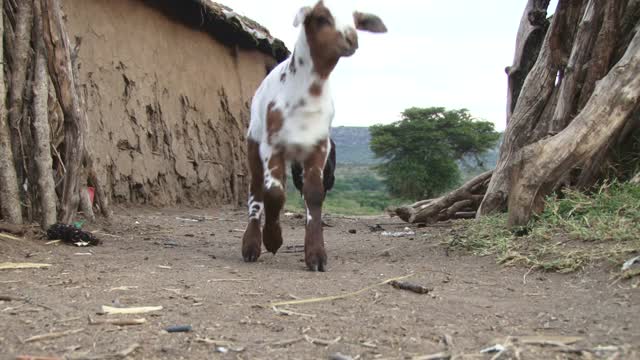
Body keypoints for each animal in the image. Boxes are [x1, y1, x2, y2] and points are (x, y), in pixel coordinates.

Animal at [242, 0, 388, 270]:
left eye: (356, 22)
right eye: (321, 18)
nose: (351, 38)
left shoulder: (319, 147)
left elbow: (314, 194)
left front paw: (316, 255)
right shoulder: (271, 145)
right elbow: (273, 194)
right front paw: (273, 240)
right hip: (253, 144)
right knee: (257, 189)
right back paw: (251, 245)